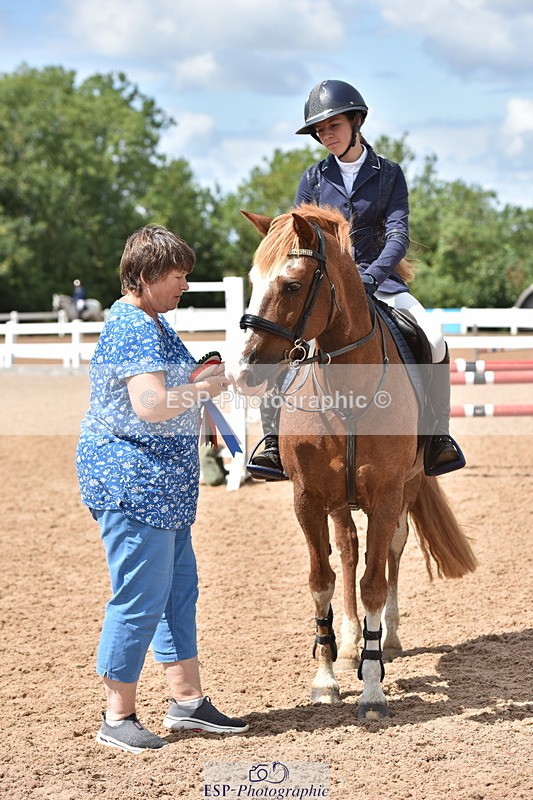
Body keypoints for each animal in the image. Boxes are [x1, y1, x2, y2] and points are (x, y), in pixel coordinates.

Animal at [229, 203, 477, 720]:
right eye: (253, 279)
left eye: (292, 285)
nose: (242, 372)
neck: (347, 390)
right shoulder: (307, 498)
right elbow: (321, 579)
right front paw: (326, 677)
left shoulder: (384, 495)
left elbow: (375, 583)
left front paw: (373, 687)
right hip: (338, 500)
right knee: (346, 549)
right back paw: (346, 645)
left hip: (404, 489)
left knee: (392, 551)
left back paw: (389, 638)